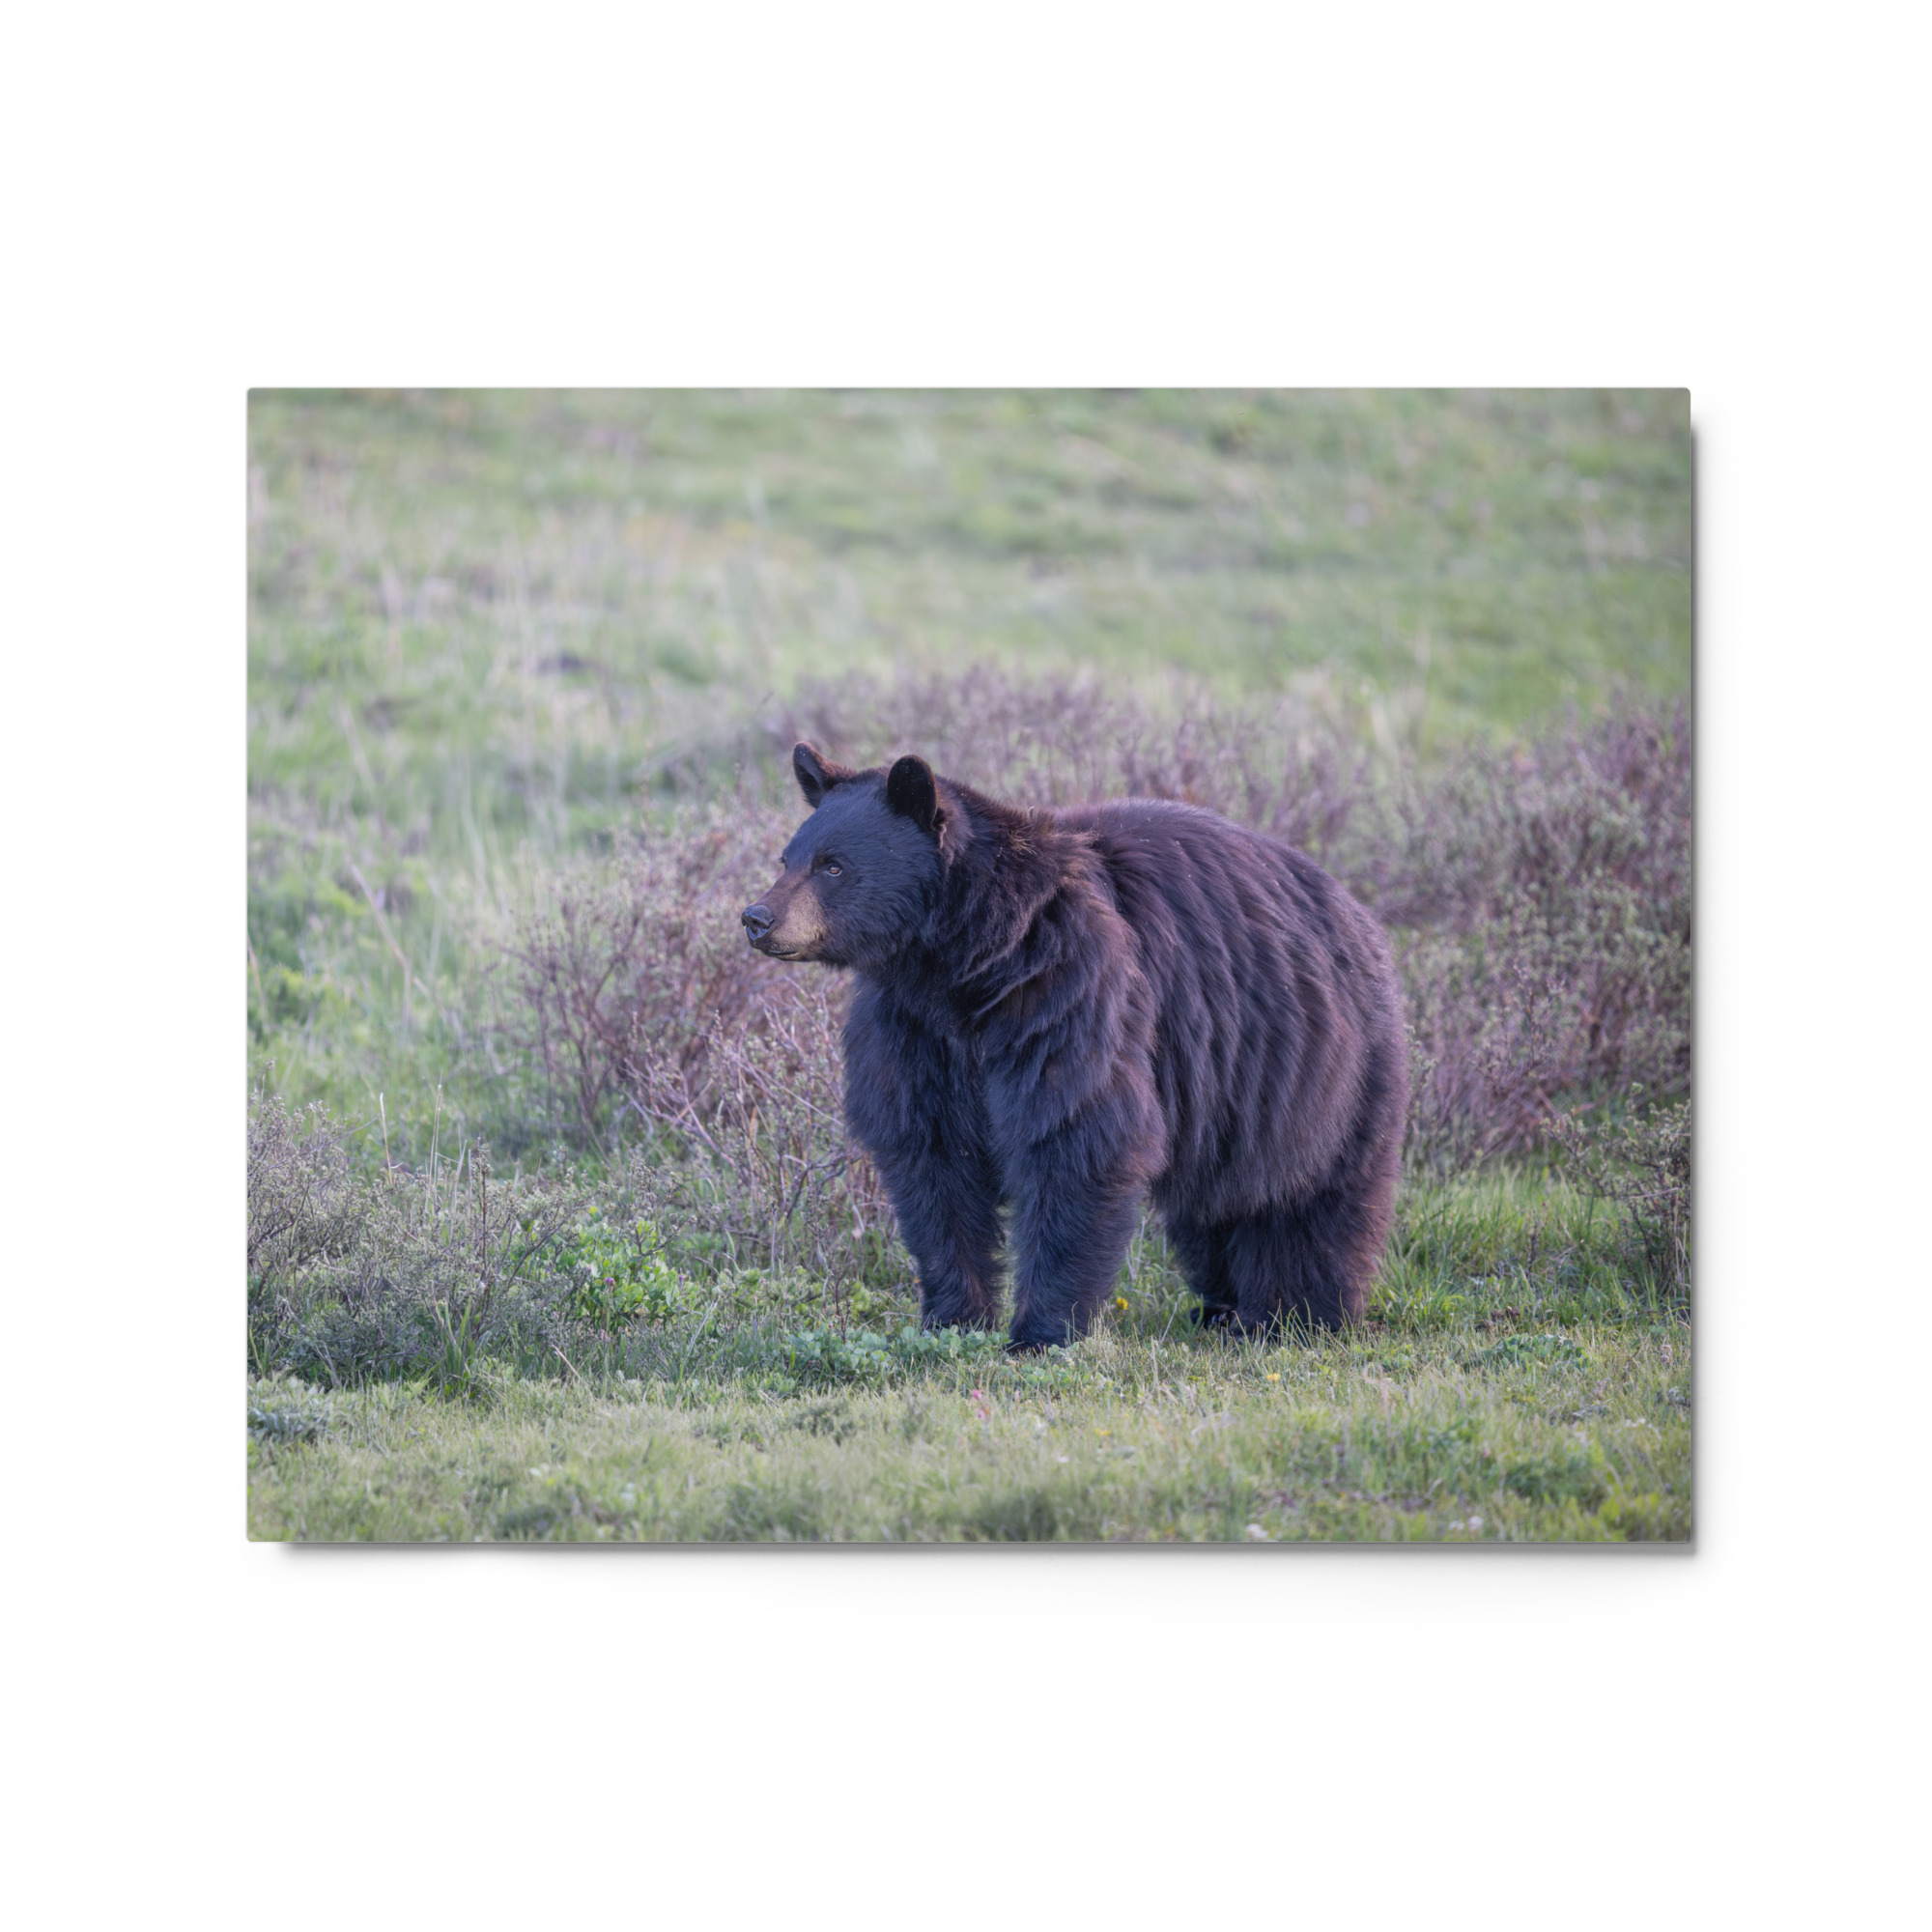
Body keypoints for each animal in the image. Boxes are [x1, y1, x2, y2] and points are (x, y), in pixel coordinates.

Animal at [741, 741, 1408, 1349]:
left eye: (833, 865)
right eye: (787, 857)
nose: (757, 917)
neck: (965, 964)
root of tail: (1357, 912)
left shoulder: (1068, 991)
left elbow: (1075, 1135)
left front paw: (1040, 1332)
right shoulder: (913, 1030)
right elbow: (931, 1158)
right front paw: (952, 1318)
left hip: (1320, 1065)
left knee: (1311, 1197)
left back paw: (1294, 1315)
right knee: (1216, 1204)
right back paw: (1221, 1308)